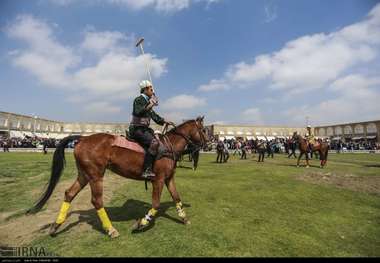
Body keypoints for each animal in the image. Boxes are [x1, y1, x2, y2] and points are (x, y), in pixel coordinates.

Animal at [27, 116, 208, 238]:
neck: (168, 146)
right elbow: (156, 204)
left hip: (84, 175)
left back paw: (56, 226)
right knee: (96, 201)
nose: (208, 143)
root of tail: (83, 138)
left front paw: (184, 219)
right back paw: (110, 229)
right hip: (96, 176)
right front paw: (141, 224)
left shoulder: (169, 179)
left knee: (69, 193)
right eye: (204, 130)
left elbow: (177, 198)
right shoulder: (158, 180)